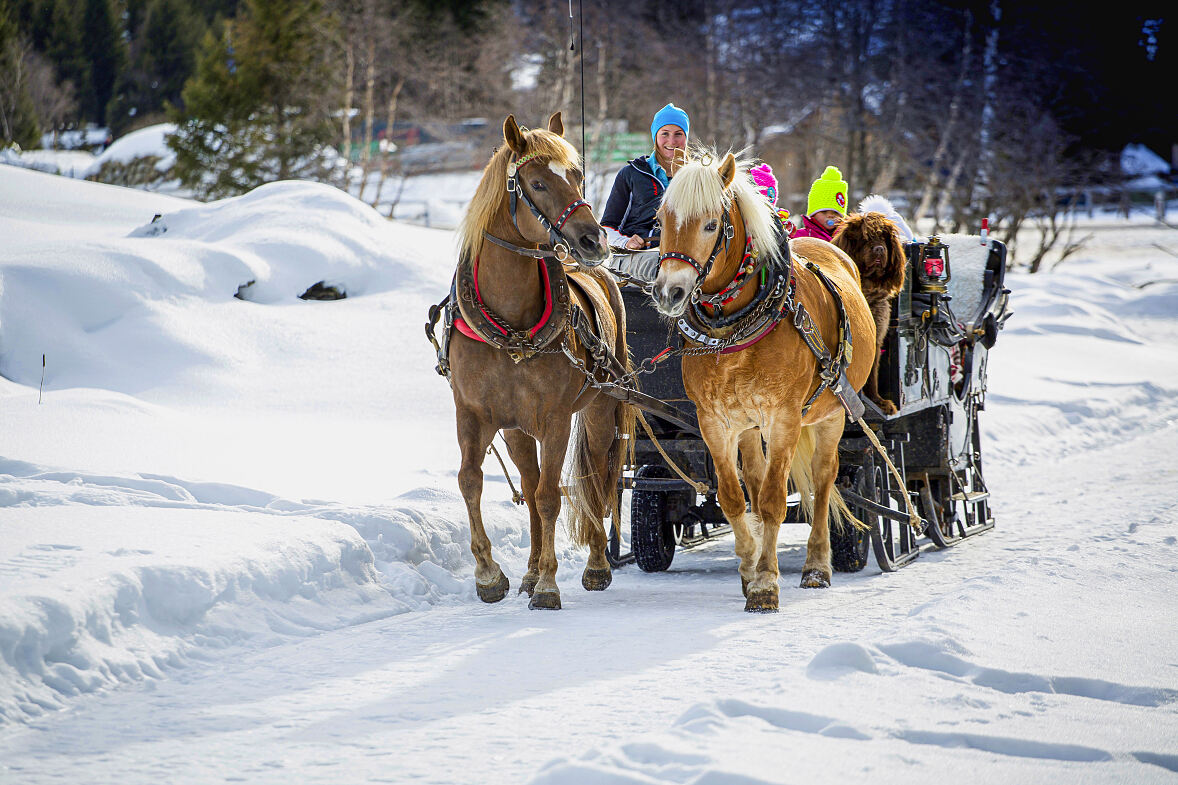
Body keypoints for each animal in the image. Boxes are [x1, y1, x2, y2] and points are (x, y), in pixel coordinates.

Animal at [442, 113, 636, 608]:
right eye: (536, 183)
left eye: (577, 175)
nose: (592, 240)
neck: (511, 326)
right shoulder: (472, 412)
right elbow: (471, 480)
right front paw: (490, 575)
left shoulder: (555, 418)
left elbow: (552, 495)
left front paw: (548, 583)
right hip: (514, 427)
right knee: (528, 486)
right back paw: (529, 570)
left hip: (601, 407)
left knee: (597, 477)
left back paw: (596, 564)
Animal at [654, 148, 876, 612]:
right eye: (662, 220)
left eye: (710, 224)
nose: (669, 293)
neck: (735, 331)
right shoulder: (714, 421)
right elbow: (734, 497)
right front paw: (749, 566)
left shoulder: (785, 417)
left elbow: (775, 501)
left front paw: (765, 584)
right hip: (748, 425)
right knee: (754, 482)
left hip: (831, 413)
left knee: (824, 480)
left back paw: (816, 566)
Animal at [834, 207, 904, 414]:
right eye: (865, 239)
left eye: (883, 238)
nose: (879, 249)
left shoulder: (877, 334)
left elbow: (872, 373)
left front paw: (879, 401)